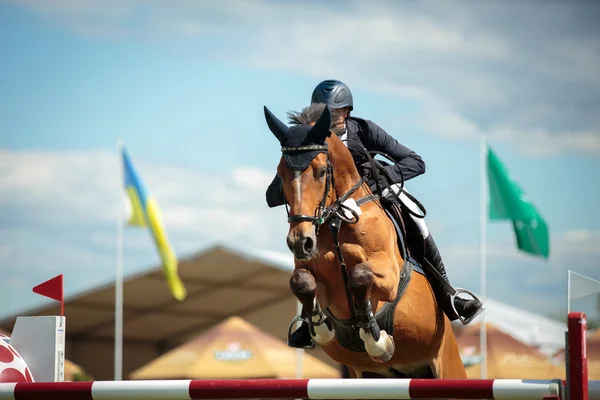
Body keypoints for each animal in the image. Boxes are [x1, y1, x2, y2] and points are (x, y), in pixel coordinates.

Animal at [264, 104, 468, 380]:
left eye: (321, 172)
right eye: (280, 174)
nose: (300, 242)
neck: (337, 221)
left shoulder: (389, 277)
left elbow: (360, 276)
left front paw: (378, 341)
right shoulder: (312, 275)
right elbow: (301, 281)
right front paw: (320, 328)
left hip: (446, 365)